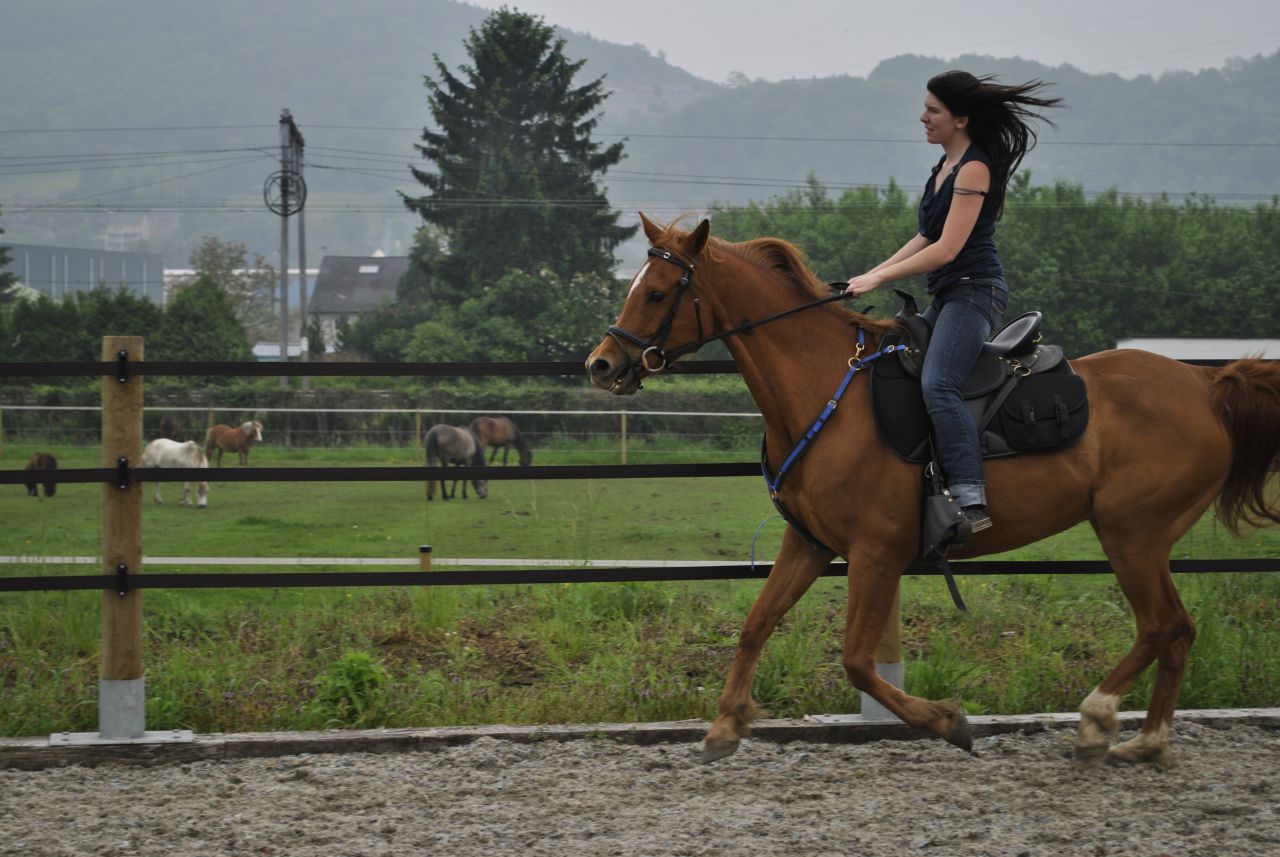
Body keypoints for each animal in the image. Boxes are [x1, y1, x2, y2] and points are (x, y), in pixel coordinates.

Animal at [587, 213, 1280, 767]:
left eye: (655, 292)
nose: (601, 364)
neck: (828, 392)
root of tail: (1208, 388)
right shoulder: (809, 543)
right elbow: (757, 625)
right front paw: (725, 726)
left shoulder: (876, 553)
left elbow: (857, 660)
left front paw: (949, 722)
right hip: (1142, 538)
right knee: (1177, 629)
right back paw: (1148, 741)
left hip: (1131, 533)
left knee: (1162, 625)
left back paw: (1097, 720)